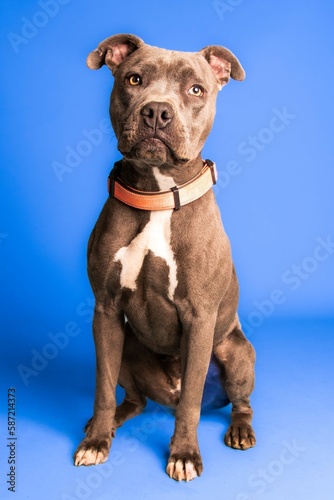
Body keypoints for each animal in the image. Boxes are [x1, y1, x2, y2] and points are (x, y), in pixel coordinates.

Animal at [73, 34, 256, 480]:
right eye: (134, 79)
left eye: (196, 89)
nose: (156, 110)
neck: (156, 193)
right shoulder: (105, 311)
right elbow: (102, 388)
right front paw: (95, 442)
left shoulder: (200, 318)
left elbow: (191, 400)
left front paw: (184, 453)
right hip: (126, 346)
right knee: (133, 399)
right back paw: (108, 423)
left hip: (237, 353)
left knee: (235, 403)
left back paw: (240, 430)